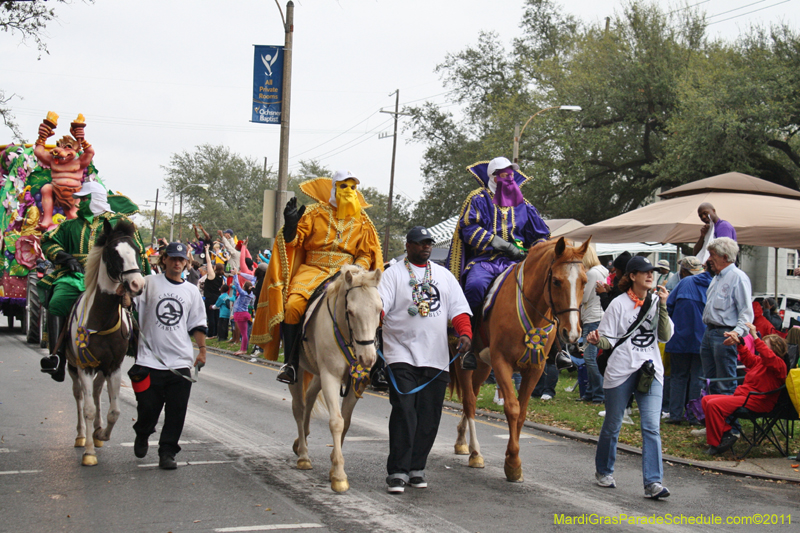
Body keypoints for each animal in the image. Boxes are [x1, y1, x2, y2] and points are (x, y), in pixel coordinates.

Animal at [65, 218, 146, 464]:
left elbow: (114, 411)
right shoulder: (84, 366)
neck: (101, 318)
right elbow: (89, 409)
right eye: (113, 253)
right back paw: (81, 436)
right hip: (73, 367)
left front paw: (101, 434)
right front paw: (89, 453)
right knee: (80, 397)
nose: (138, 284)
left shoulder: (113, 367)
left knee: (97, 391)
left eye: (137, 251)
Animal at [290, 264, 382, 492]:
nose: (368, 359)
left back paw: (301, 441)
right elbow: (337, 422)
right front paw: (339, 475)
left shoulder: (356, 382)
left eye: (379, 309)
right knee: (299, 408)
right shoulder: (330, 376)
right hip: (299, 372)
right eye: (350, 312)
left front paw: (333, 464)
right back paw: (303, 455)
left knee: (310, 397)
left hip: (317, 373)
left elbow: (346, 422)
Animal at [450, 237, 588, 478]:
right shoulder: (502, 362)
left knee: (473, 397)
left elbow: (522, 412)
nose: (571, 334)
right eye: (557, 281)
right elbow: (512, 408)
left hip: (483, 366)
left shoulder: (535, 368)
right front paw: (513, 462)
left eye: (585, 282)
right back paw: (475, 453)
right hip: (464, 362)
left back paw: (461, 441)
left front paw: (512, 459)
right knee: (469, 401)